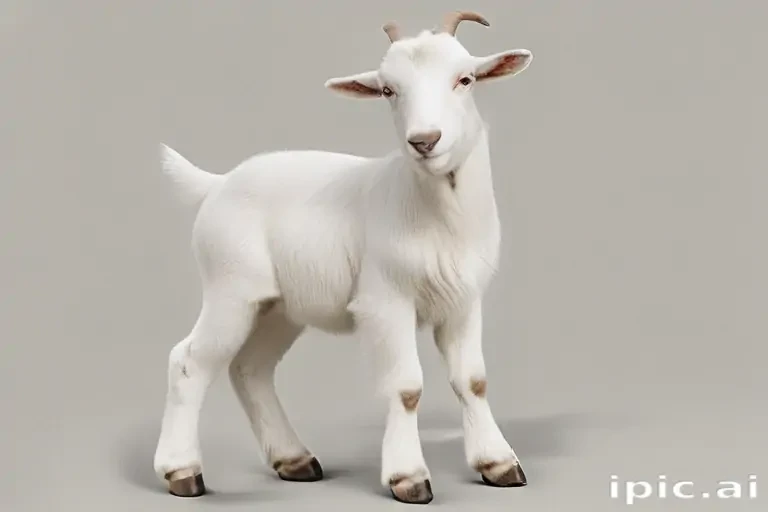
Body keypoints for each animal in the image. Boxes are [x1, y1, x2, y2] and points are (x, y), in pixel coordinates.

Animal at [153, 10, 534, 505]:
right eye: (388, 90)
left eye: (465, 79)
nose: (425, 140)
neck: (434, 214)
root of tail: (216, 183)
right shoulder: (385, 301)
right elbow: (407, 387)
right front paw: (409, 477)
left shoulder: (464, 301)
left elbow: (473, 380)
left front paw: (498, 464)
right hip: (230, 287)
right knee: (188, 361)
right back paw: (182, 472)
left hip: (279, 306)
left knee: (250, 368)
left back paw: (294, 460)